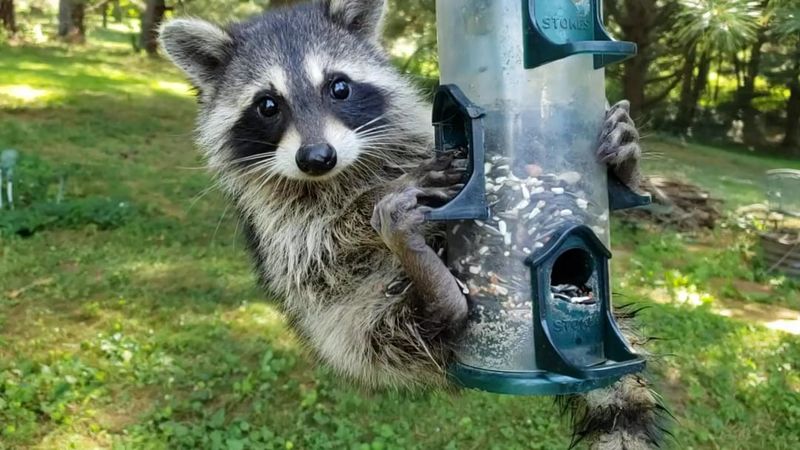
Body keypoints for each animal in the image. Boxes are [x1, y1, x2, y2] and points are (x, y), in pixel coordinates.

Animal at [159, 1, 667, 448]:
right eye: (268, 105)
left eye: (338, 88)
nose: (317, 158)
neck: (346, 170)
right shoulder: (277, 220)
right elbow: (320, 239)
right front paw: (380, 197)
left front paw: (626, 170)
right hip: (337, 328)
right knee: (381, 328)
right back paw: (430, 280)